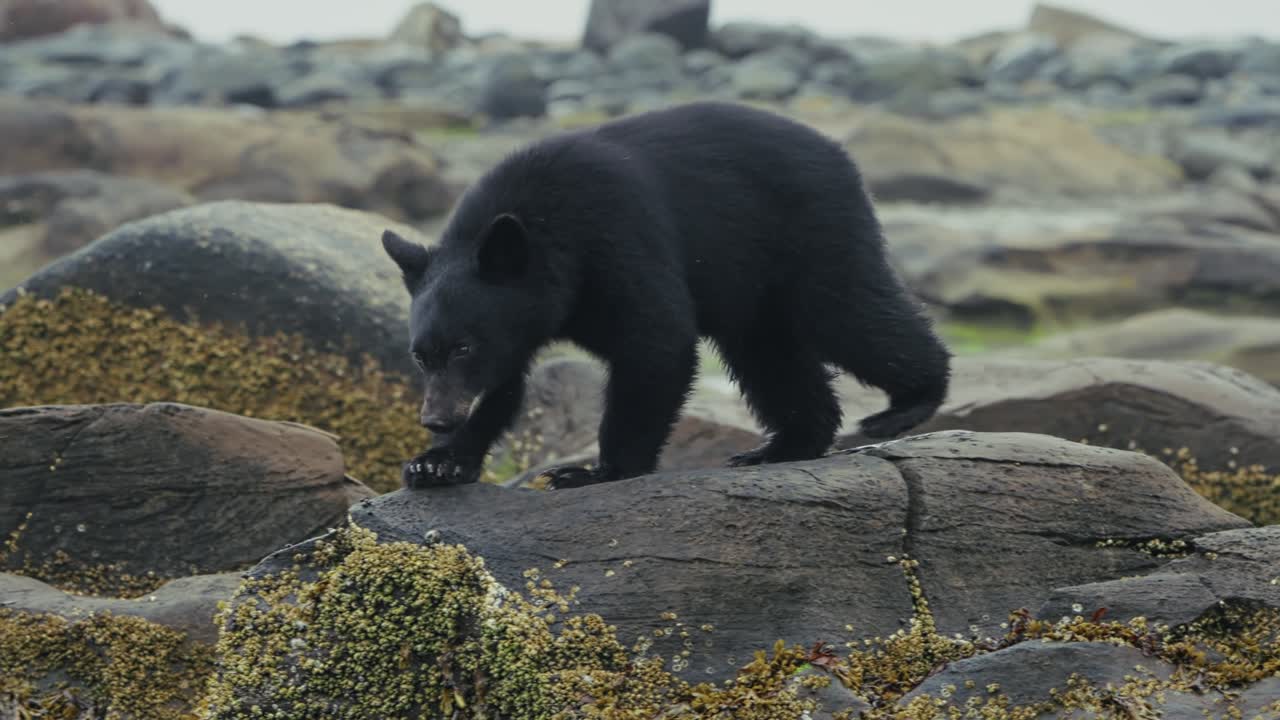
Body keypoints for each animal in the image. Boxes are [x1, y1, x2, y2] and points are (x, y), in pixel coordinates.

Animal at [381, 100, 951, 490]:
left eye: (463, 347)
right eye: (420, 355)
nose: (434, 419)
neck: (540, 229)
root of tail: (838, 152)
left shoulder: (616, 238)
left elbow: (654, 342)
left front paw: (595, 471)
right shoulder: (523, 314)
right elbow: (503, 388)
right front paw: (437, 462)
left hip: (810, 230)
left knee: (847, 312)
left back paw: (908, 403)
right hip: (754, 283)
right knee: (769, 354)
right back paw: (783, 445)